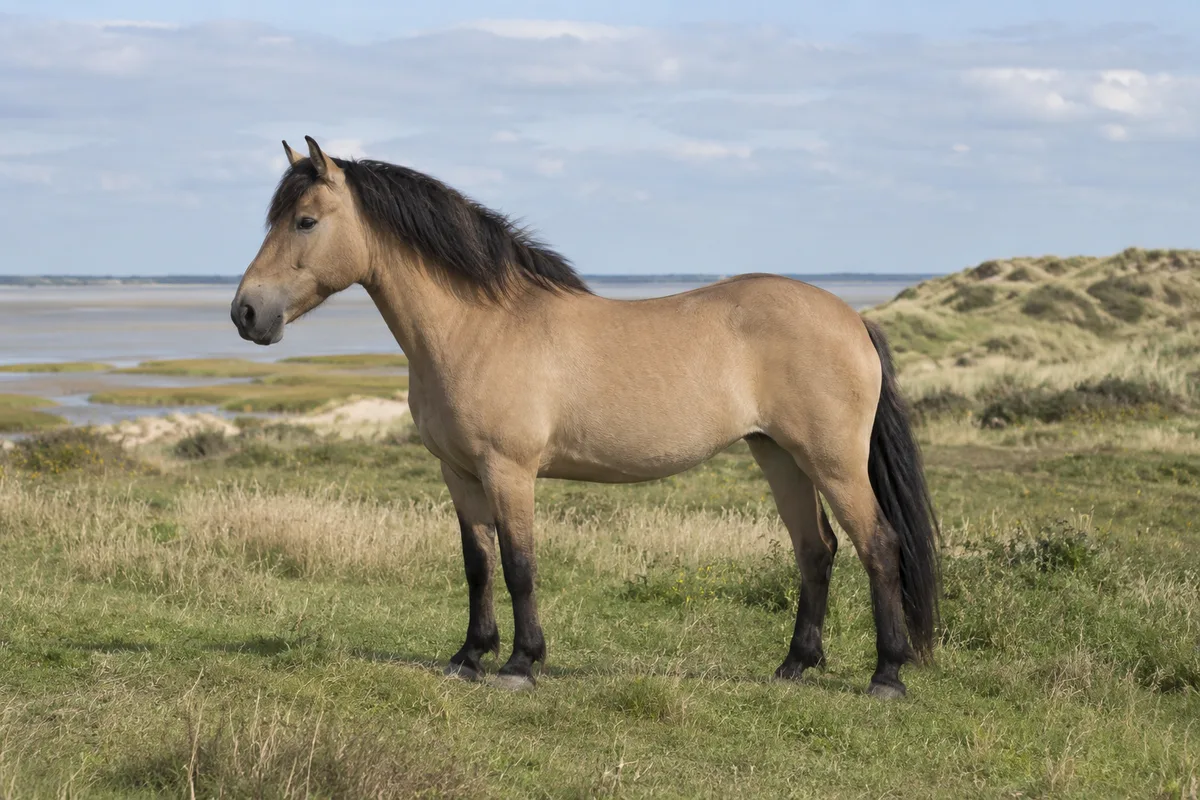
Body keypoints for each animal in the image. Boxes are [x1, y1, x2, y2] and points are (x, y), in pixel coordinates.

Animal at [231, 137, 940, 698]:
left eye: (304, 221)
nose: (245, 312)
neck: (478, 327)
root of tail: (852, 318)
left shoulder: (509, 471)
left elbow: (518, 563)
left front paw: (520, 664)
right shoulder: (459, 474)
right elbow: (477, 564)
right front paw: (469, 656)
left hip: (832, 461)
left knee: (878, 545)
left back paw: (886, 676)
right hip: (779, 455)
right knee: (815, 550)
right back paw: (793, 666)